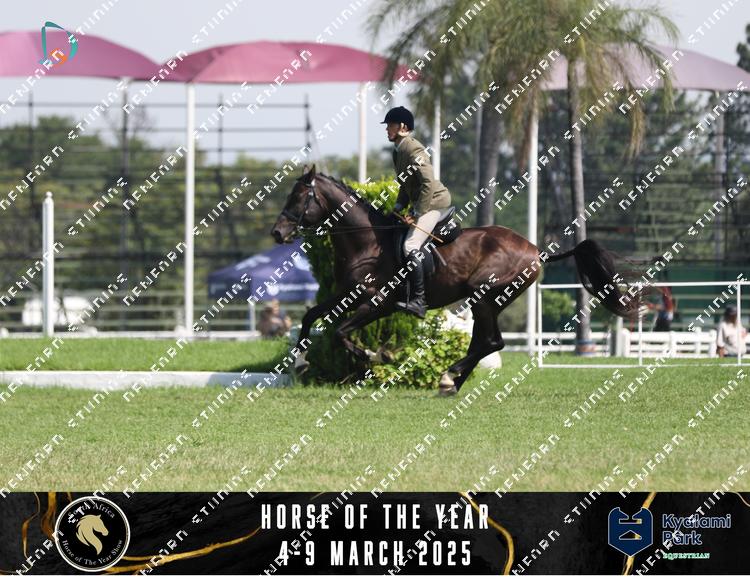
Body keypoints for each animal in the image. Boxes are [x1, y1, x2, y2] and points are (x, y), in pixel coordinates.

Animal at [270, 165, 644, 395]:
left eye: (299, 198)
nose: (277, 233)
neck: (367, 241)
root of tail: (536, 251)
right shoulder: (346, 294)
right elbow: (311, 316)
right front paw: (300, 363)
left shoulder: (378, 303)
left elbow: (340, 332)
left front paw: (378, 357)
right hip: (486, 302)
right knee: (484, 342)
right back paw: (452, 383)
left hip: (485, 296)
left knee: (491, 342)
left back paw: (449, 377)